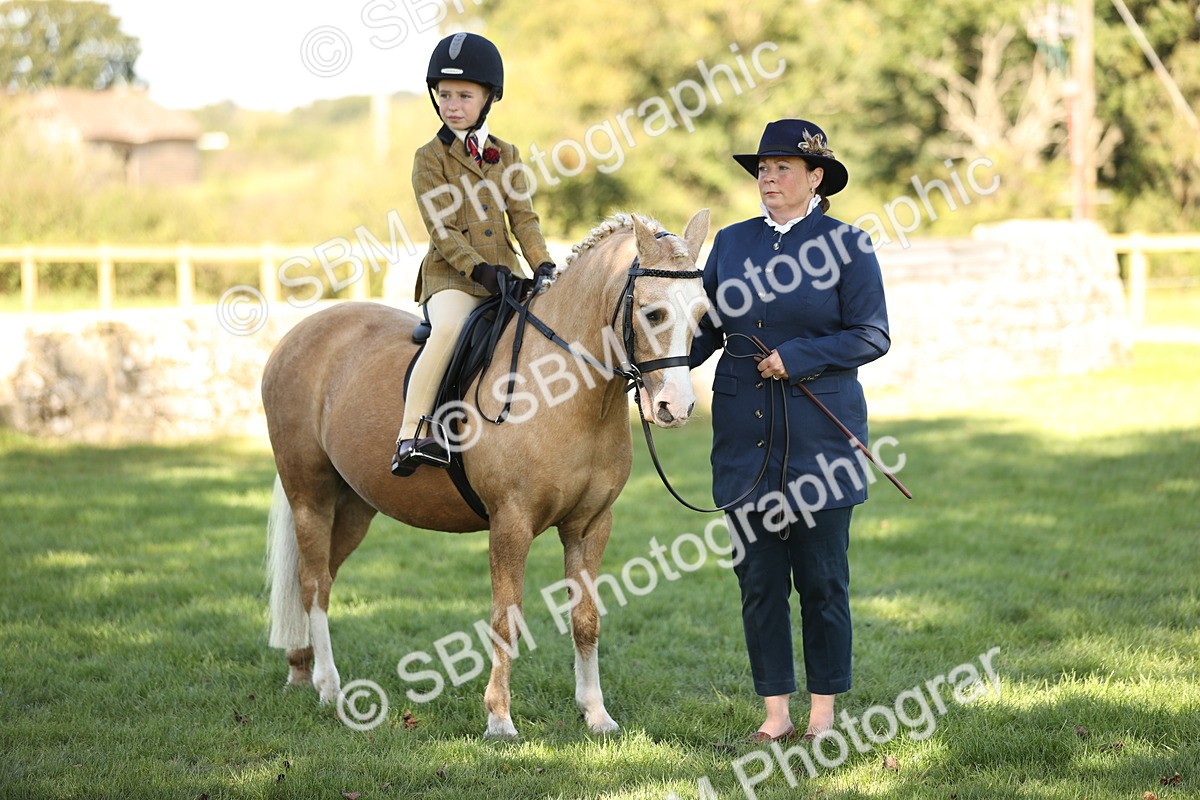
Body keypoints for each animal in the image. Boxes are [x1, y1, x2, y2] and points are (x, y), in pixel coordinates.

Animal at [262, 209, 710, 739]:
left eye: (701, 314)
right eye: (653, 313)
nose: (675, 408)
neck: (563, 388)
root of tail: (301, 332)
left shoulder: (591, 525)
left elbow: (585, 619)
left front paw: (596, 714)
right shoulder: (510, 524)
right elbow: (505, 620)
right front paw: (499, 718)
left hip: (353, 506)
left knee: (320, 579)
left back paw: (300, 670)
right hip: (310, 495)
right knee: (314, 583)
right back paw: (328, 686)